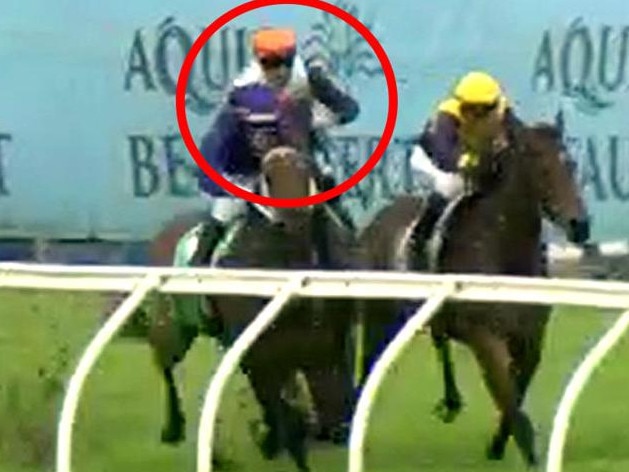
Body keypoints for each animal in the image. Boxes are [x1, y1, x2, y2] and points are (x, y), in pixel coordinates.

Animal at [144, 146, 358, 470]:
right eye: (266, 175)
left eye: (306, 167)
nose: (293, 218)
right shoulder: (263, 354)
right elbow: (288, 419)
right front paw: (273, 439)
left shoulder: (322, 350)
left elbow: (329, 407)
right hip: (173, 327)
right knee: (166, 364)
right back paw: (175, 428)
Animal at [356, 120, 592, 466]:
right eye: (540, 164)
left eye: (571, 164)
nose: (580, 225)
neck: (504, 252)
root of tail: (375, 219)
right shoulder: (485, 337)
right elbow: (506, 394)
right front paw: (526, 452)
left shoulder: (530, 339)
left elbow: (515, 391)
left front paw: (498, 446)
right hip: (378, 313)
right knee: (370, 360)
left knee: (439, 342)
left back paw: (451, 400)